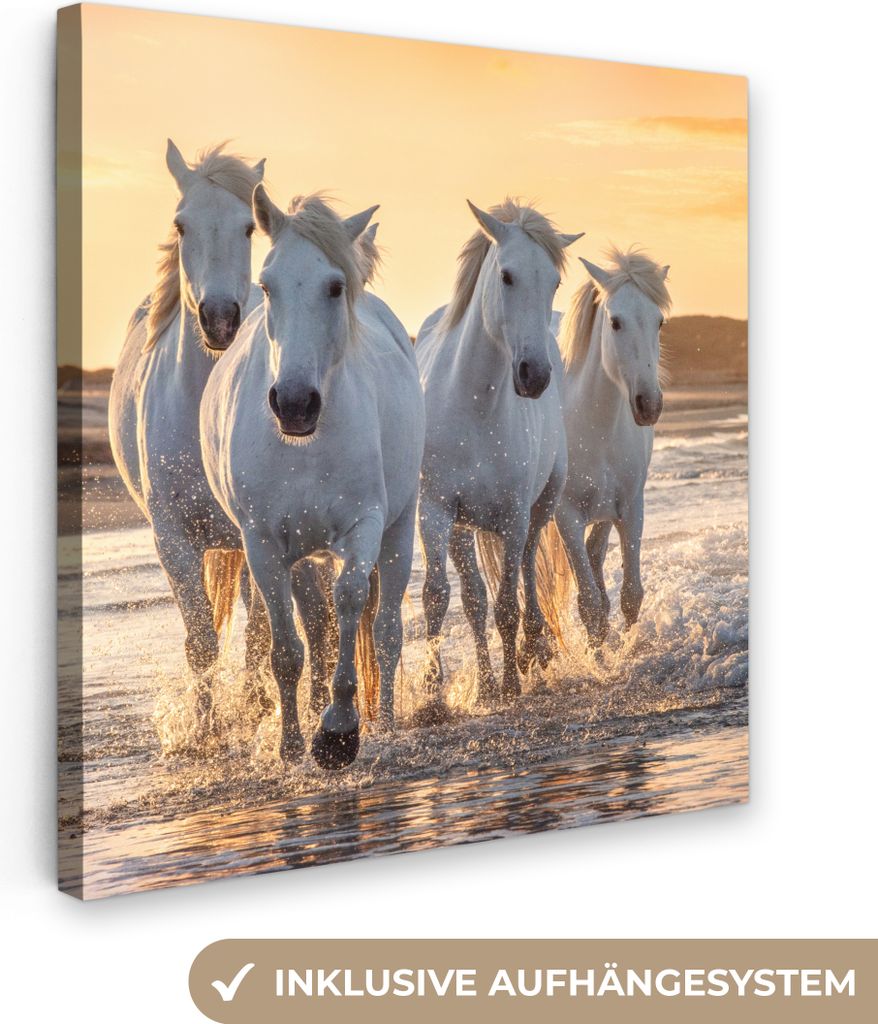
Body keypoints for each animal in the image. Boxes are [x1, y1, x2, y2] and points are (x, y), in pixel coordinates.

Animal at [200, 189, 425, 769]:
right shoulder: (262, 545)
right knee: (317, 632)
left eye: (335, 286)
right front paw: (292, 743)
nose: (295, 403)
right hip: (303, 553)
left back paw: (385, 723)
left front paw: (339, 731)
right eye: (266, 285)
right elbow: (287, 648)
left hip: (399, 531)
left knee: (385, 631)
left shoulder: (365, 526)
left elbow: (350, 603)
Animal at [414, 199, 582, 721]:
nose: (534, 375)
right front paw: (433, 698)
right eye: (507, 276)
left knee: (526, 569)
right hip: (464, 527)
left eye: (553, 281)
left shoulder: (512, 515)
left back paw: (533, 649)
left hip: (539, 507)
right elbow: (441, 598)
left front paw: (510, 683)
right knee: (473, 597)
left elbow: (508, 601)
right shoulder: (436, 512)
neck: (474, 404)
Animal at [539, 248, 671, 643]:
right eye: (615, 322)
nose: (649, 405)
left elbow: (631, 595)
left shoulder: (630, 506)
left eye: (659, 321)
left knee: (595, 553)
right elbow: (590, 605)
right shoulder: (566, 516)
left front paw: (627, 649)